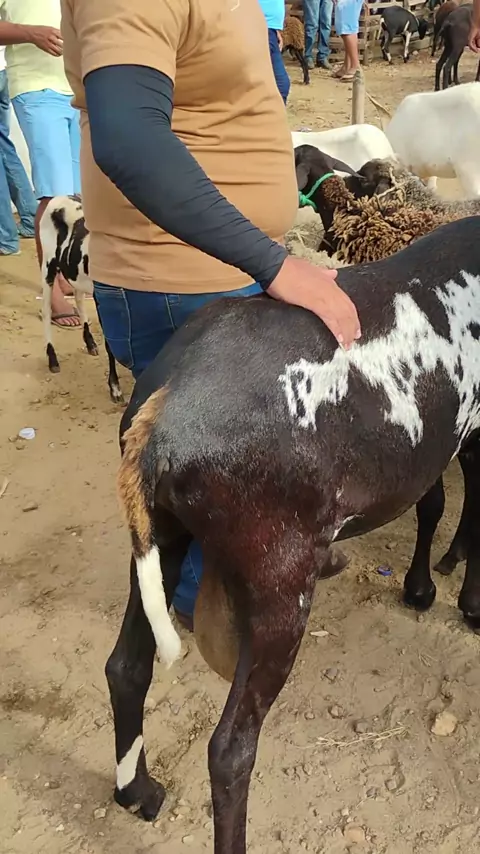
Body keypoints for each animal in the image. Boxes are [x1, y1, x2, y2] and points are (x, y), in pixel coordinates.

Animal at [39, 196, 123, 404]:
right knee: (46, 311)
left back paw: (90, 342)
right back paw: (52, 358)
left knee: (78, 300)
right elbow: (111, 345)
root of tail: (58, 198)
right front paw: (115, 388)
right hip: (48, 267)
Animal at [109, 215, 480, 853]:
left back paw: (139, 792)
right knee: (231, 749)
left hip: (161, 538)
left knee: (127, 668)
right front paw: (460, 599)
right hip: (279, 573)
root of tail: (162, 417)